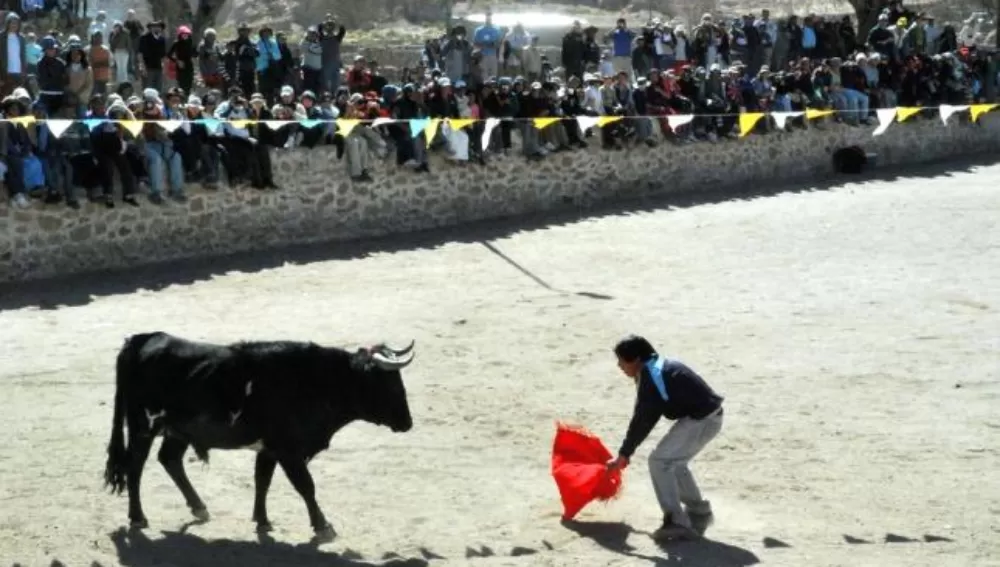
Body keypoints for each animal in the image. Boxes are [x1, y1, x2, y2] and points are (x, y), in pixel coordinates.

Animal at [102, 332, 414, 540]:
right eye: (388, 383)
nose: (408, 423)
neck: (313, 381)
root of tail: (140, 340)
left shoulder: (269, 449)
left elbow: (262, 481)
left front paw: (262, 521)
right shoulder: (289, 451)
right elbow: (306, 486)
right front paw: (323, 526)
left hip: (178, 431)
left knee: (169, 460)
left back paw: (199, 507)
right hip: (143, 427)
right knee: (134, 467)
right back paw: (138, 517)